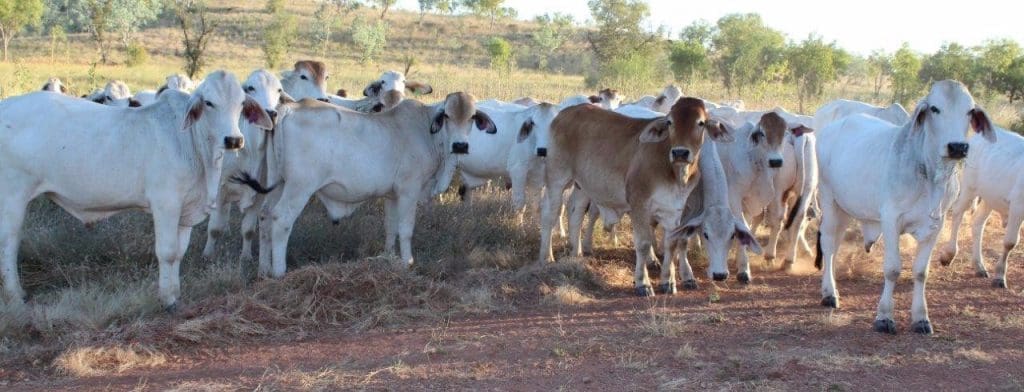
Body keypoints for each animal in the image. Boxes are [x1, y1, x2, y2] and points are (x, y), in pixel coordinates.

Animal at [536, 97, 737, 294]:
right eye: (670, 122)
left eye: (700, 123)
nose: (680, 152)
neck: (674, 172)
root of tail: (566, 112)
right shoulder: (639, 204)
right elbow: (643, 243)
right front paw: (643, 283)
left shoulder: (674, 210)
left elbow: (673, 243)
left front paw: (669, 281)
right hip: (557, 178)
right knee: (549, 214)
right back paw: (547, 257)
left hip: (582, 185)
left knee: (575, 213)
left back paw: (576, 254)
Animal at [815, 79, 991, 335]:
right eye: (935, 108)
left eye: (969, 111)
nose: (957, 147)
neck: (929, 175)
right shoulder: (890, 220)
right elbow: (892, 269)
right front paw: (884, 317)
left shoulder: (936, 225)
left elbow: (920, 272)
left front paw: (921, 318)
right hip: (829, 200)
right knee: (828, 244)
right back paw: (829, 294)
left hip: (846, 208)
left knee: (836, 245)